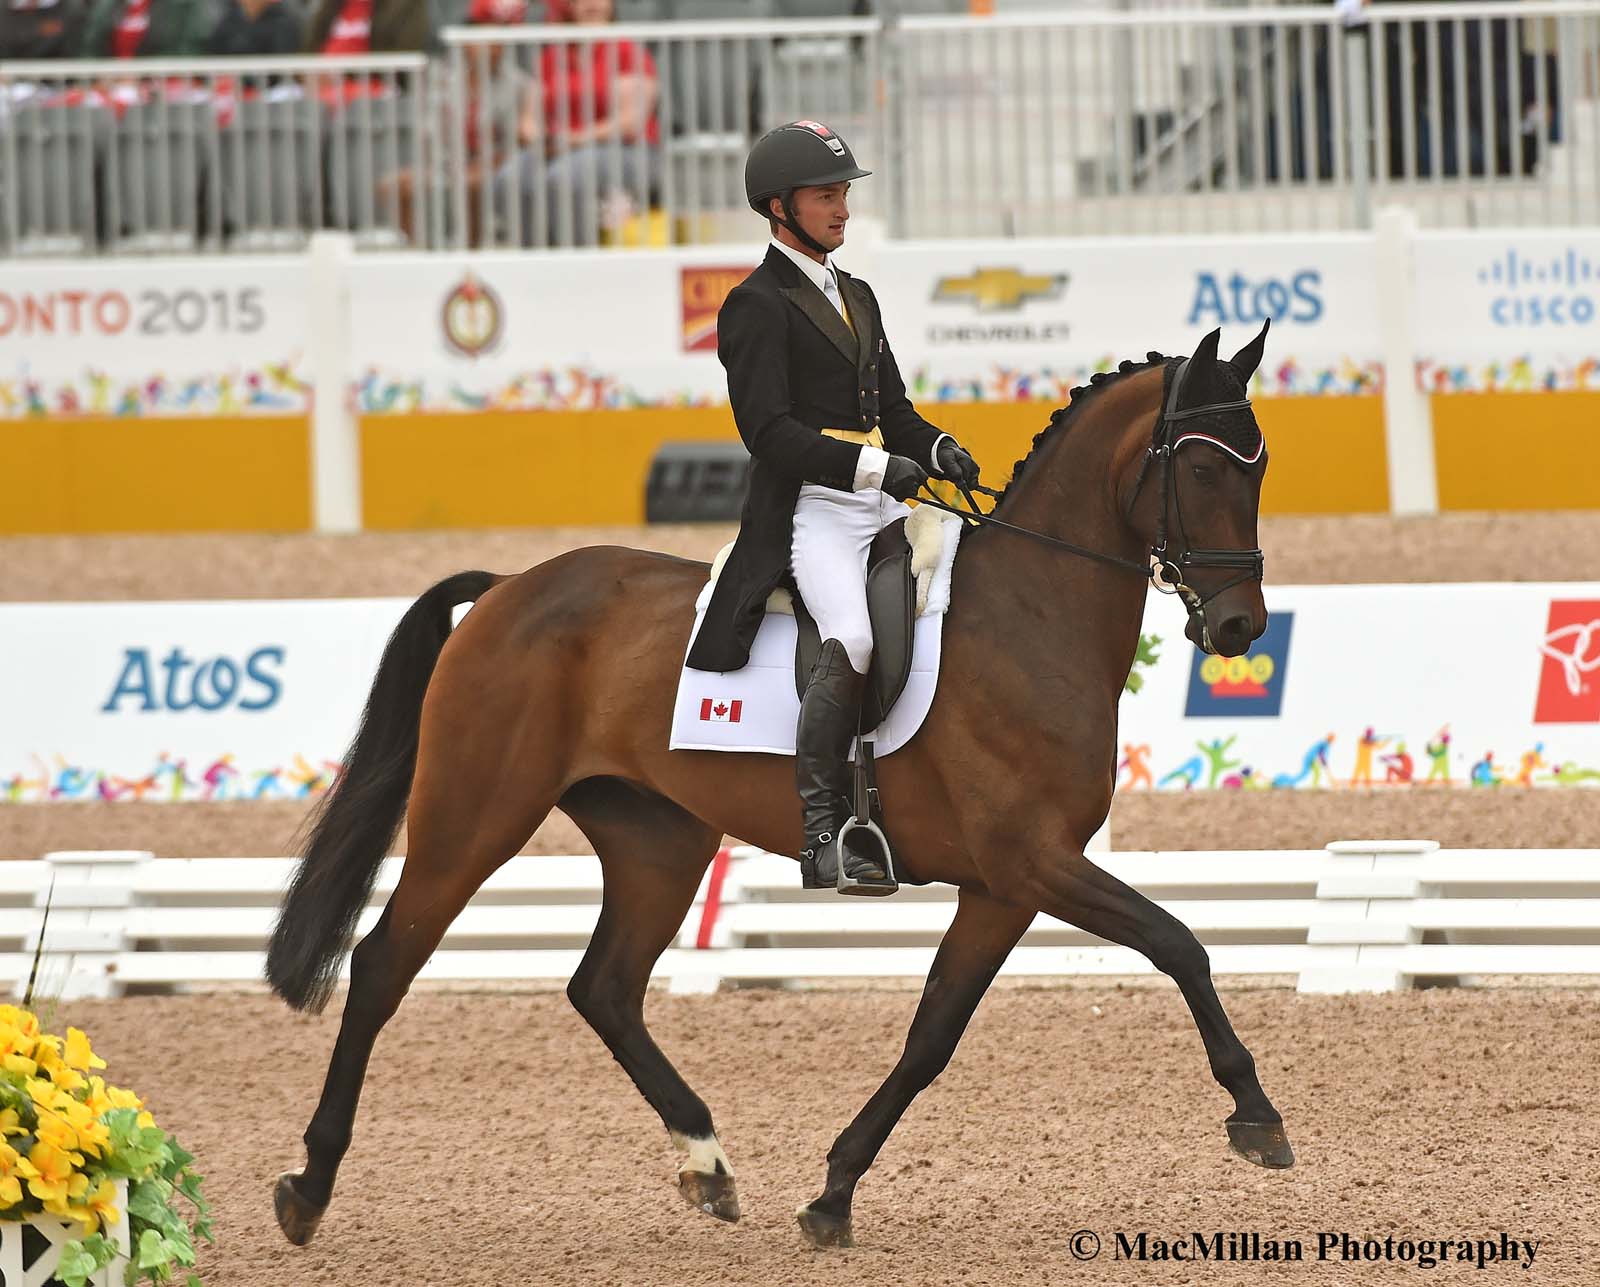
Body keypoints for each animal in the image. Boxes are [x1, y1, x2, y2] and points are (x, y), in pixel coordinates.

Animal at [262, 318, 1286, 1248]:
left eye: (1261, 466)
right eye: (1203, 473)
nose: (1239, 628)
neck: (1032, 612)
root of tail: (508, 589)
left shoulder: (1005, 885)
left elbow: (932, 1033)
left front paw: (833, 1193)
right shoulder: (1033, 860)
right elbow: (1178, 942)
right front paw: (1257, 1115)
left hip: (658, 836)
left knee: (605, 986)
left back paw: (709, 1165)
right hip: (475, 816)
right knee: (384, 963)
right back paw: (309, 1186)